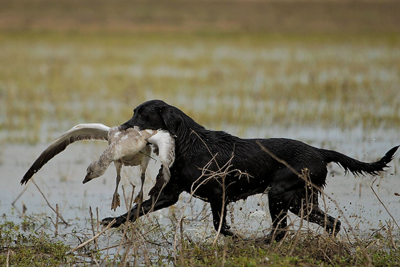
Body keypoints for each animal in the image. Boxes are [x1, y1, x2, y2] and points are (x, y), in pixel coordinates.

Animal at [102, 100, 396, 243]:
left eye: (143, 115)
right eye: (134, 112)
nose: (121, 128)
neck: (188, 143)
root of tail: (318, 151)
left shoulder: (218, 192)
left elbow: (219, 226)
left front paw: (237, 238)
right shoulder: (168, 194)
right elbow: (137, 210)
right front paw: (111, 221)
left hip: (279, 194)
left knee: (280, 230)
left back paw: (258, 242)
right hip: (300, 202)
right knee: (332, 223)